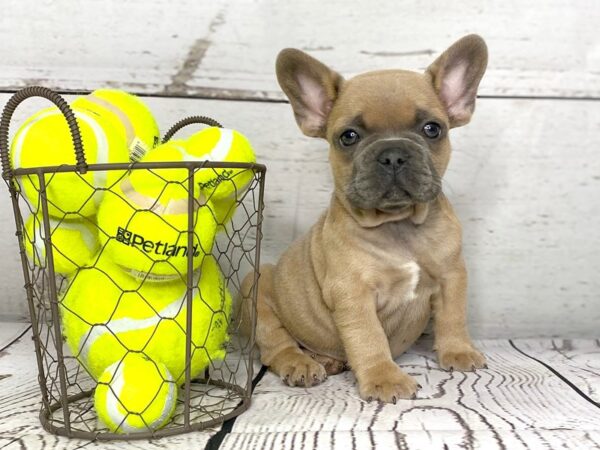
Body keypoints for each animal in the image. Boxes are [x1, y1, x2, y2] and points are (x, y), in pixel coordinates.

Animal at [243, 33, 488, 402]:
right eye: (349, 136)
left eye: (432, 129)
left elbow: (453, 316)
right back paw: (300, 363)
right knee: (275, 344)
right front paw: (385, 377)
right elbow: (369, 337)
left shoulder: (452, 276)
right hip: (257, 288)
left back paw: (325, 360)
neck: (399, 224)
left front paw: (458, 351)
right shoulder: (353, 294)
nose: (393, 154)